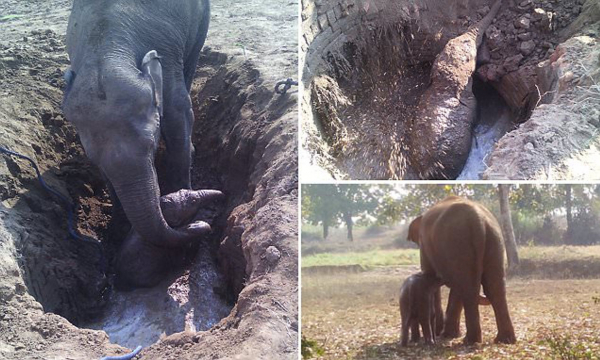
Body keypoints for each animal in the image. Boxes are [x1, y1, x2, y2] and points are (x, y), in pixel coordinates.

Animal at [62, 0, 212, 248]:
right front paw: (117, 230)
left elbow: (178, 115)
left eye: (151, 146)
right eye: (93, 160)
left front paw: (184, 193)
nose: (200, 226)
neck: (106, 50)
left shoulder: (167, 58)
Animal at [408, 195, 516, 344]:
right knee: (493, 288)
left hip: (458, 242)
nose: (438, 332)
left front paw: (443, 334)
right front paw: (449, 334)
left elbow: (431, 280)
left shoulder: (425, 247)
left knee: (469, 288)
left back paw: (471, 340)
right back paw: (504, 340)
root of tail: (478, 221)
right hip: (495, 241)